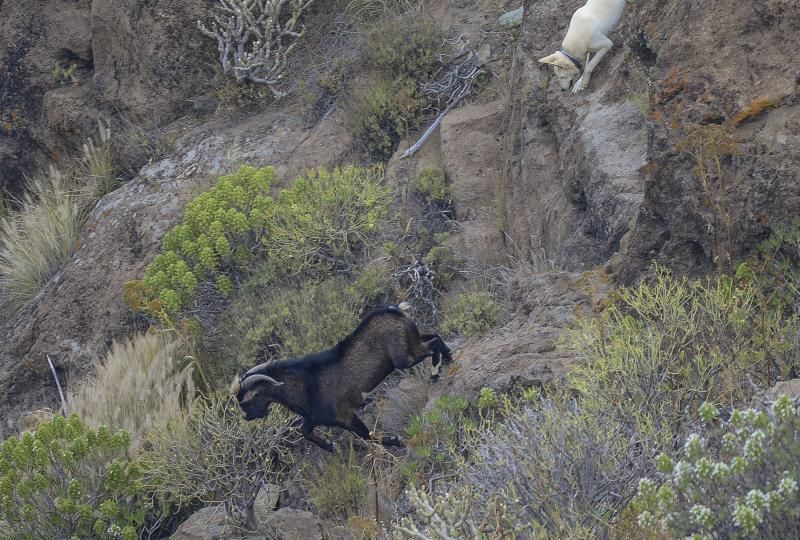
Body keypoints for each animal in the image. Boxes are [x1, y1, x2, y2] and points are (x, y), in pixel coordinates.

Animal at [234, 304, 454, 452]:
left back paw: (435, 373)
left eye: (245, 401)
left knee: (431, 345)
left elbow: (367, 435)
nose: (247, 417)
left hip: (404, 357)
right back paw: (448, 357)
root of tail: (394, 309)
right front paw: (330, 446)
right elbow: (303, 430)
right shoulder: (315, 417)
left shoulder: (345, 415)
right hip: (412, 339)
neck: (304, 387)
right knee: (434, 336)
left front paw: (396, 440)